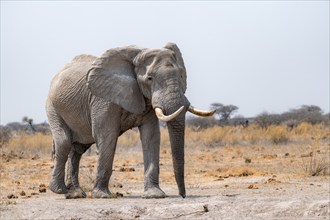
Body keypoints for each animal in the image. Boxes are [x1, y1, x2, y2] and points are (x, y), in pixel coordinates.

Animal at [46, 42, 215, 199]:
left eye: (181, 75)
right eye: (150, 78)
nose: (183, 195)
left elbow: (151, 136)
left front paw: (154, 195)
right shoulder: (103, 99)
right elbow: (107, 136)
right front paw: (103, 195)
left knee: (78, 149)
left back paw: (76, 194)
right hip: (52, 106)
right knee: (64, 142)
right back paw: (59, 190)